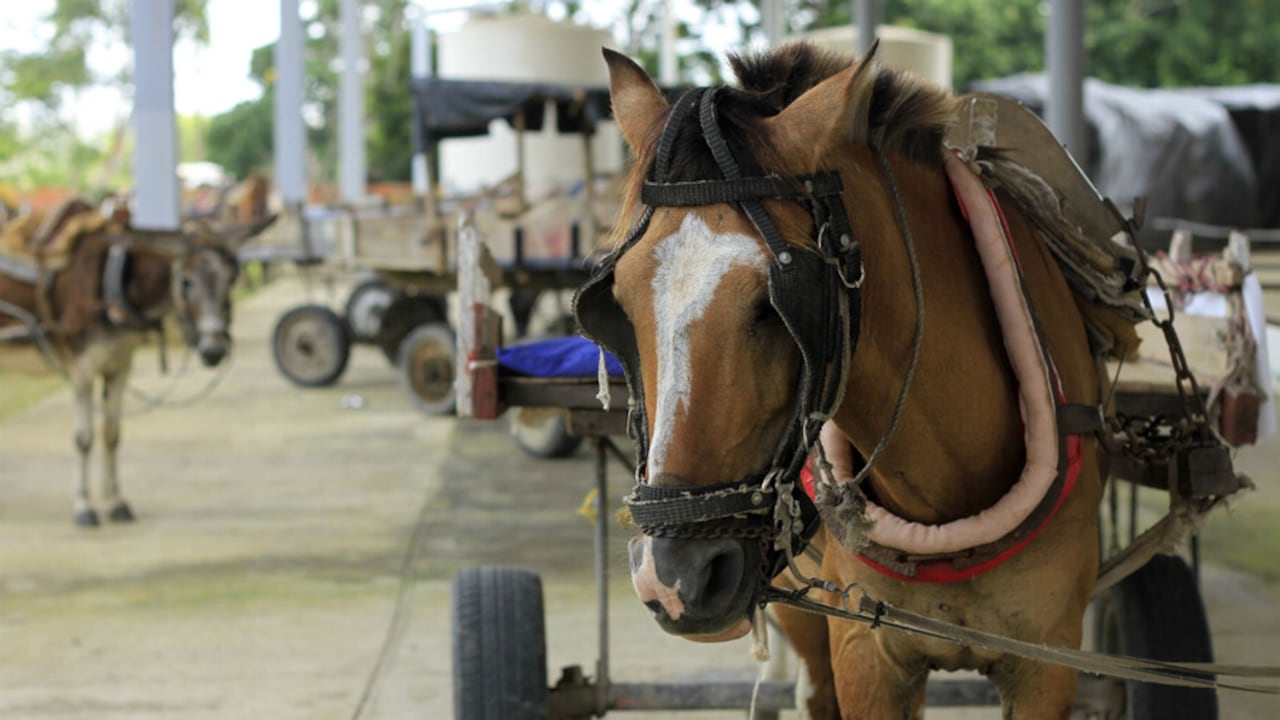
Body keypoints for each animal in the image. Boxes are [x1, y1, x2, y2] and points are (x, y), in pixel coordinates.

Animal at [0, 198, 275, 527]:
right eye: (186, 281)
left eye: (232, 278)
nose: (214, 351)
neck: (111, 277)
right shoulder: (82, 368)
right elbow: (84, 438)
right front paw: (84, 507)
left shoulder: (119, 363)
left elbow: (112, 434)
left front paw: (116, 503)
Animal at [576, 44, 1121, 718]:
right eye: (615, 302)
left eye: (775, 305)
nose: (675, 576)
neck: (946, 495)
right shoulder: (864, 649)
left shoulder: (1047, 659)